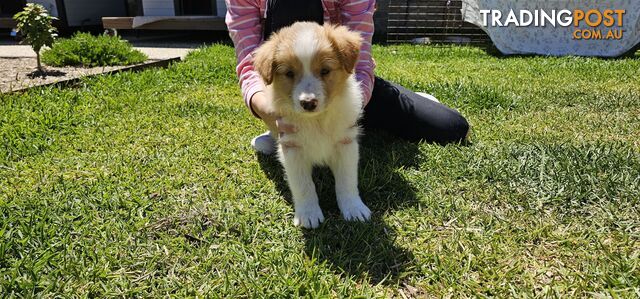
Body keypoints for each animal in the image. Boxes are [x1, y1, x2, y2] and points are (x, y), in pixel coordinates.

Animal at [250, 22, 370, 229]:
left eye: (325, 70)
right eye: (289, 73)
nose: (308, 102)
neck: (316, 120)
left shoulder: (345, 143)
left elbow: (347, 181)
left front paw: (354, 209)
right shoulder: (292, 147)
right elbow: (303, 185)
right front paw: (309, 214)